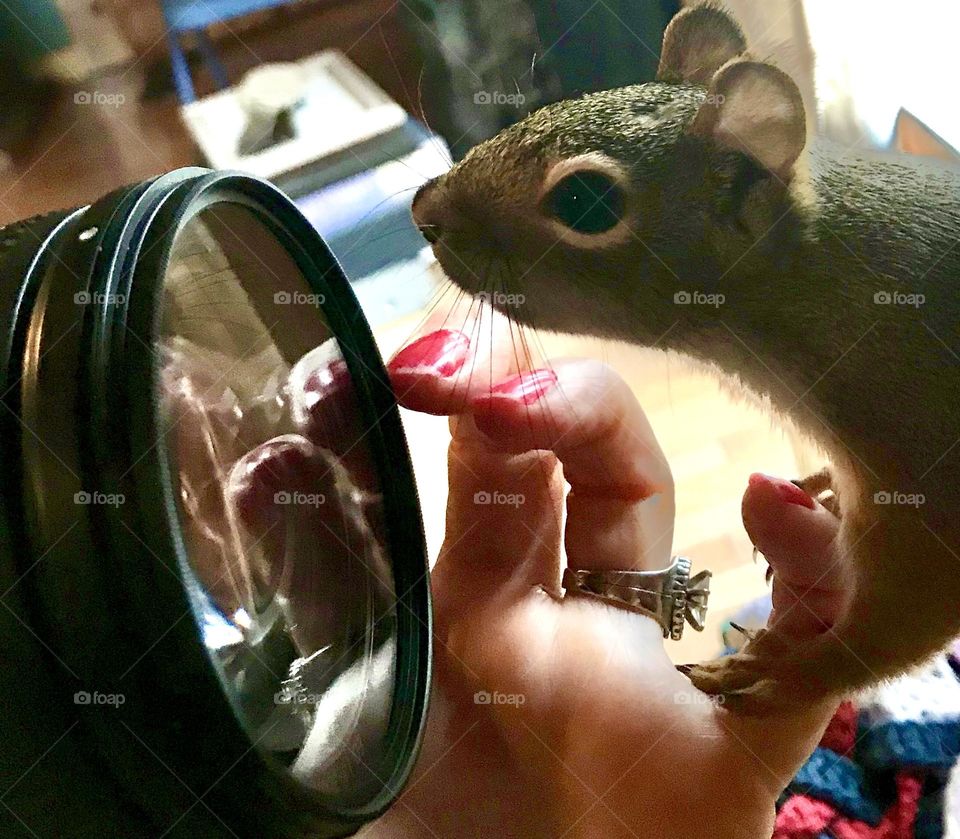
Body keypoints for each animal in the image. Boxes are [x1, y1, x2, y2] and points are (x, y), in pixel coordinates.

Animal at [408, 2, 960, 713]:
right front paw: (821, 486)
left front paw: (786, 672)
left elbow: (900, 619)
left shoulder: (924, 481)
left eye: (584, 201)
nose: (423, 209)